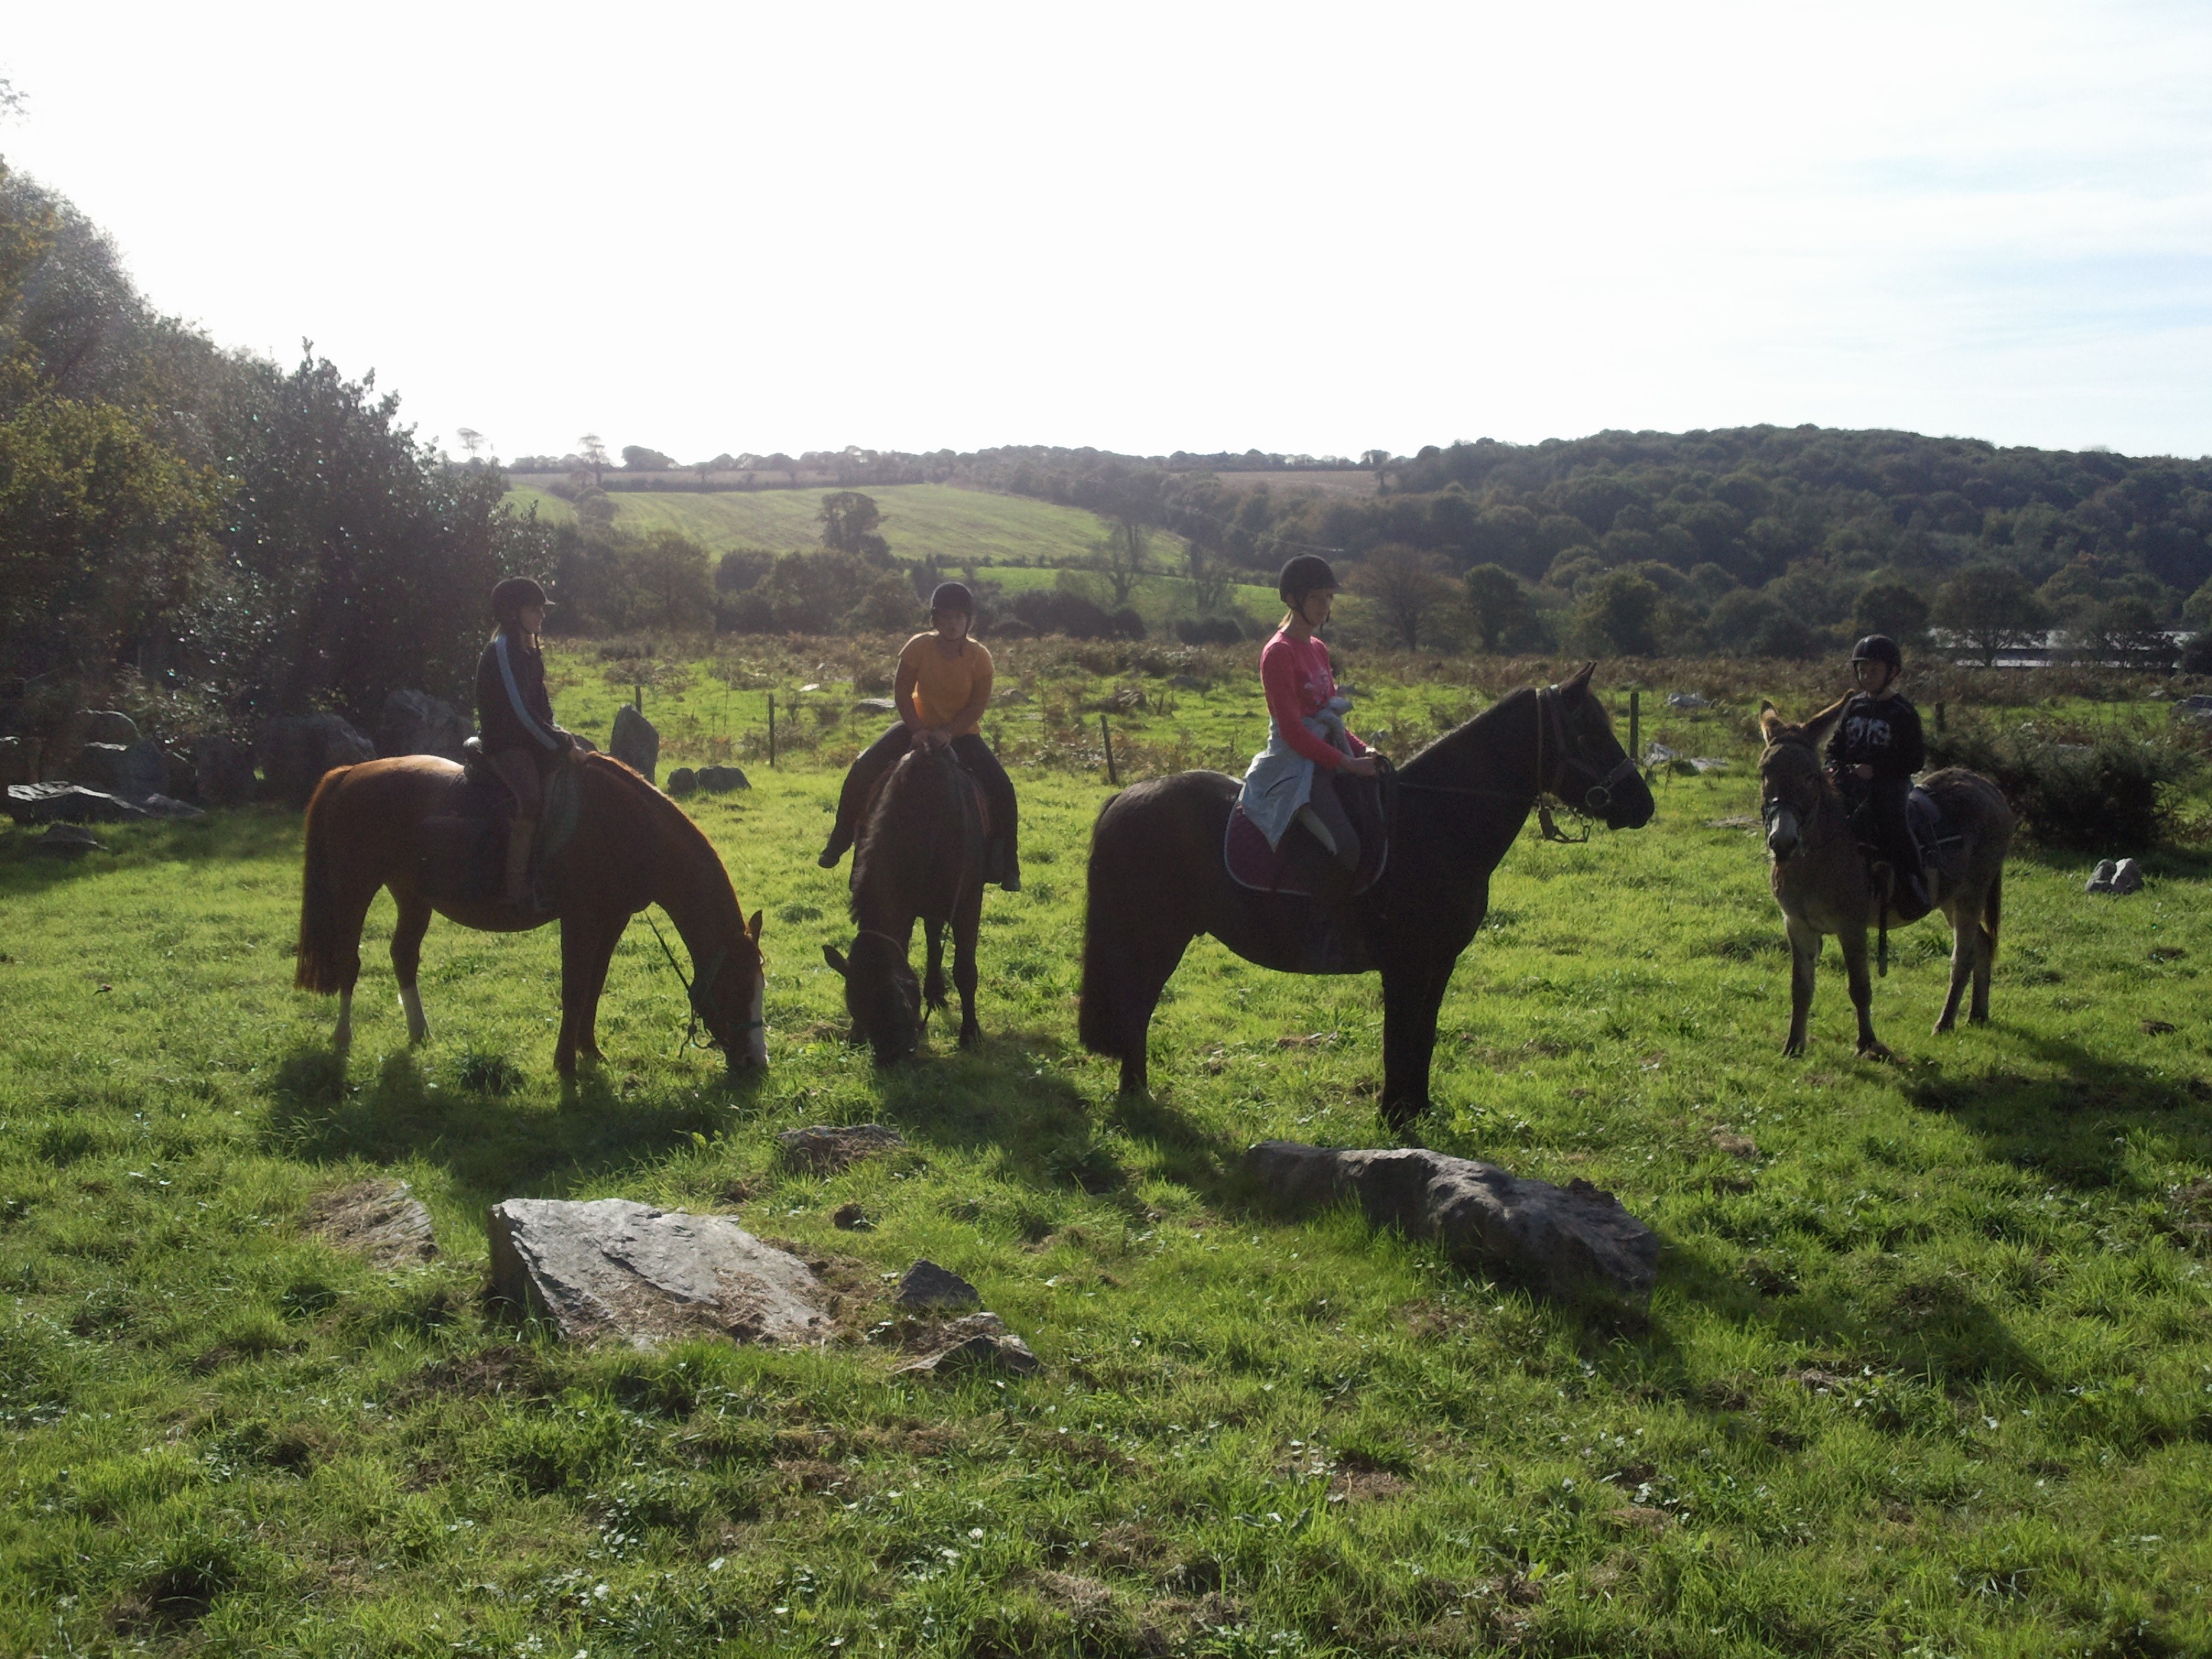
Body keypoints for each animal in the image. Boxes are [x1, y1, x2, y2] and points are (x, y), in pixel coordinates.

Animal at [291, 756, 769, 1079]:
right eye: (736, 988)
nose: (756, 1062)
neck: (629, 830)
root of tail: (350, 772)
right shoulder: (580, 919)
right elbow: (574, 989)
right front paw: (565, 1065)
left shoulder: (612, 919)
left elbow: (595, 986)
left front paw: (590, 1051)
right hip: (355, 889)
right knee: (350, 961)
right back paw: (343, 1037)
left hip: (412, 894)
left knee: (404, 954)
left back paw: (420, 1033)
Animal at [1079, 668, 1654, 1141]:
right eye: (1588, 732)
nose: (1642, 805)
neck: (1436, 822)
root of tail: (1126, 796)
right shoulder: (1404, 966)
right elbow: (1398, 1038)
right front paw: (1394, 1119)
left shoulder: (1439, 964)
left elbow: (1424, 1035)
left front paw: (1418, 1108)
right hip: (1155, 939)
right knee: (1136, 1006)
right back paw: (1136, 1095)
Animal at [1752, 694, 2017, 1057]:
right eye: (1764, 773)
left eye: (1810, 776)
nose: (1783, 841)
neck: (1819, 854)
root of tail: (1987, 787)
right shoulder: (1797, 925)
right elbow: (1801, 988)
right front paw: (1794, 1046)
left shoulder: (1852, 927)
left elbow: (1860, 987)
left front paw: (1867, 1043)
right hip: (1951, 898)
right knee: (1983, 943)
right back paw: (1977, 1014)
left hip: (1971, 895)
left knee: (1962, 957)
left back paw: (1945, 1023)